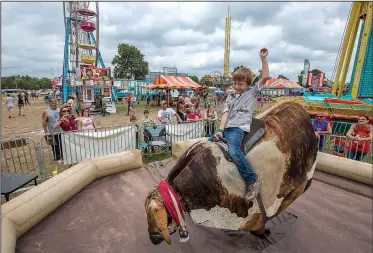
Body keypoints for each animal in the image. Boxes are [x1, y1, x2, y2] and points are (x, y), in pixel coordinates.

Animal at [144, 101, 316, 245]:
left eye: (154, 216)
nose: (153, 238)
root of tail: (299, 107)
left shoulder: (250, 215)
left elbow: (261, 222)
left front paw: (263, 233)